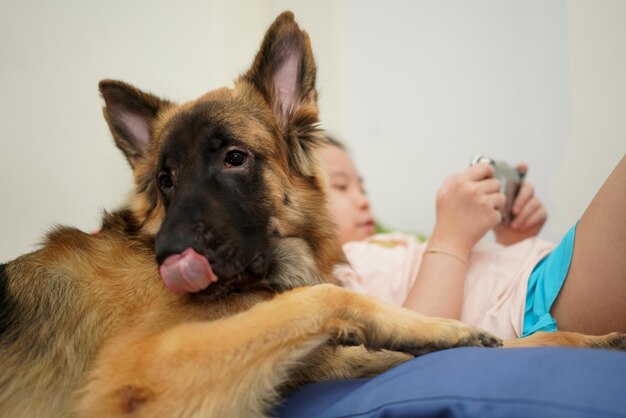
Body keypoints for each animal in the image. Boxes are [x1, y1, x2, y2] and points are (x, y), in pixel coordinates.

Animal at [1, 9, 624, 418]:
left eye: (234, 158)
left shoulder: (318, 365)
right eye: (164, 180)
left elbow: (494, 349)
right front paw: (438, 325)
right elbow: (326, 297)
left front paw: (577, 341)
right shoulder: (143, 369)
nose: (166, 258)